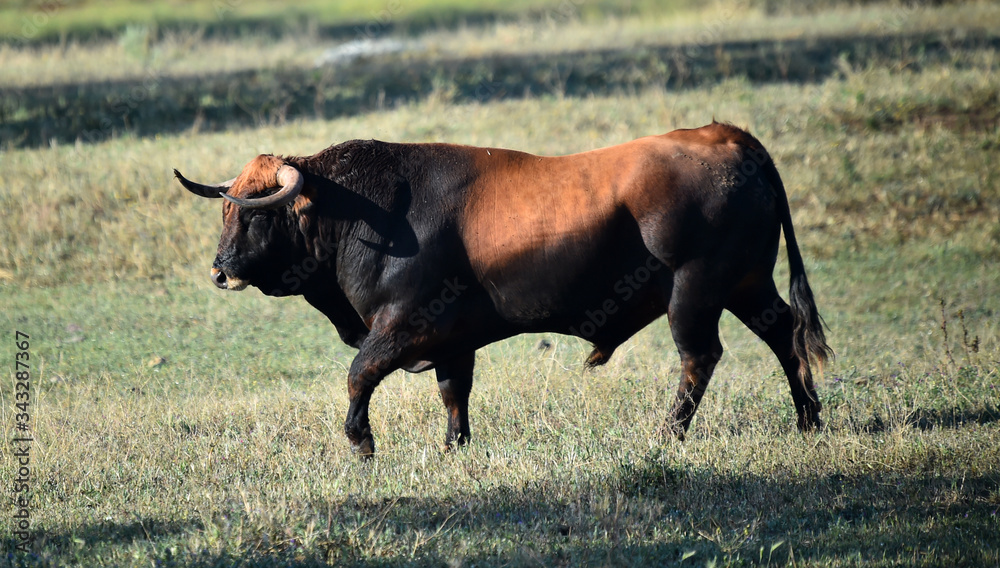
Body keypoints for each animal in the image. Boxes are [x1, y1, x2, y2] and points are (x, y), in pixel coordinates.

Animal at [174, 121, 832, 457]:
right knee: (786, 335)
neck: (364, 208)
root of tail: (729, 136)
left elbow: (359, 375)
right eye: (226, 209)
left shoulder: (402, 324)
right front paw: (454, 449)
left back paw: (668, 434)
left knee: (699, 358)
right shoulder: (451, 339)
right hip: (747, 285)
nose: (220, 270)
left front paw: (362, 444)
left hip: (693, 294)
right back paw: (808, 420)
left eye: (255, 213)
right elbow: (453, 394)